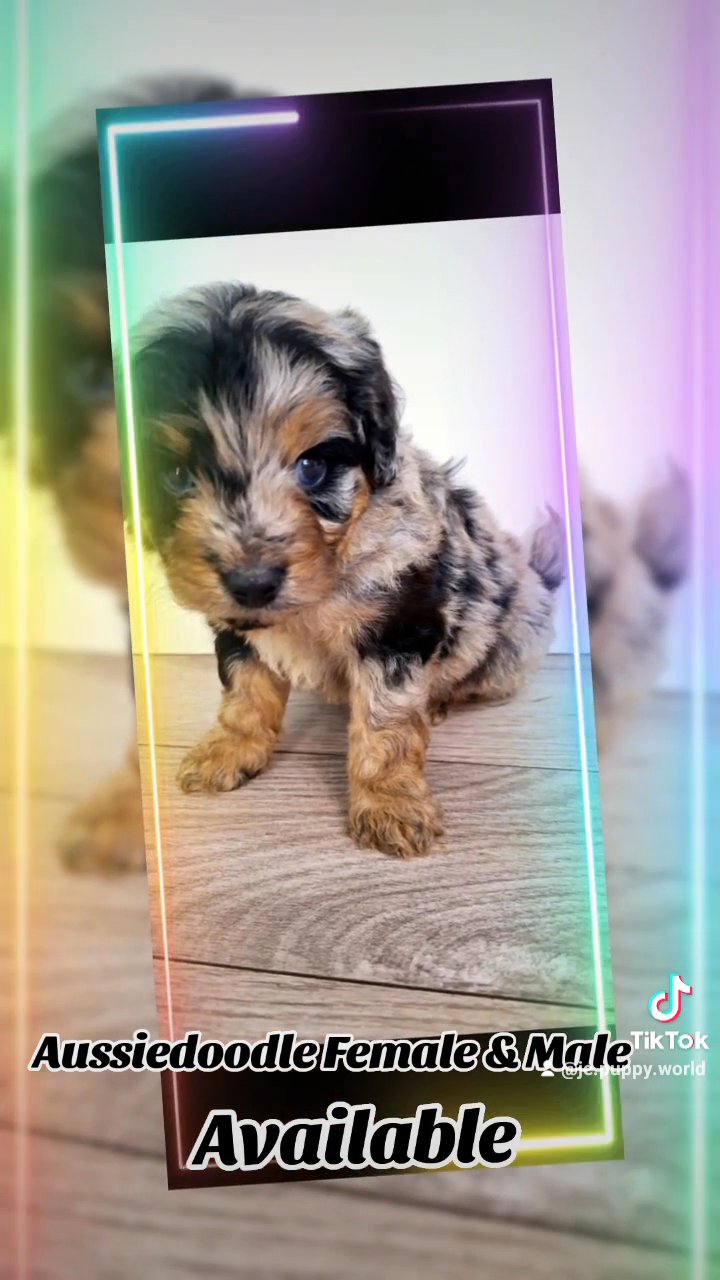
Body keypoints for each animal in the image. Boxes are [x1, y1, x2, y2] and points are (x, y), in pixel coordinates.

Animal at [131, 285, 563, 855]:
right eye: (177, 477)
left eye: (312, 467)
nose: (253, 583)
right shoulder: (238, 625)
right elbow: (244, 689)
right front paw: (229, 750)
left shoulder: (398, 624)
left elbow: (387, 718)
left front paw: (389, 803)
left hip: (512, 639)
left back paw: (441, 701)